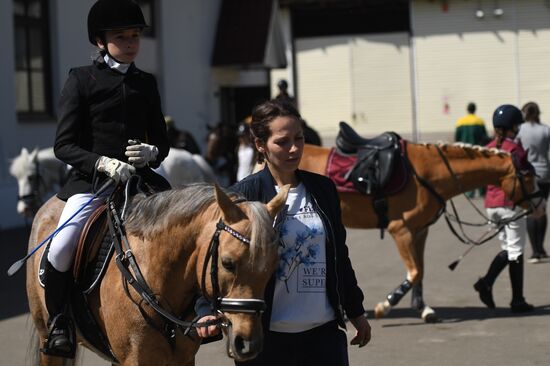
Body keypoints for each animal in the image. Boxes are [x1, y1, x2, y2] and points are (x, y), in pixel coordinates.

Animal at [28, 184, 292, 366]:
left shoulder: (182, 360)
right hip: (46, 337)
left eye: (272, 265)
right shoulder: (135, 360)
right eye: (228, 263)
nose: (248, 344)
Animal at [302, 142, 540, 322]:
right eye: (527, 176)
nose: (540, 207)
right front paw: (385, 305)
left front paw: (423, 308)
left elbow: (421, 271)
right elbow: (415, 271)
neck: (427, 173)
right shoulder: (401, 231)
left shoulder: (420, 232)